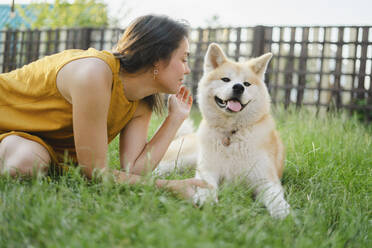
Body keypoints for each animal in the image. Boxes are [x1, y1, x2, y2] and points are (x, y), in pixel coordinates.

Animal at [154, 43, 290, 218]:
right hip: (181, 158)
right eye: (226, 79)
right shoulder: (207, 170)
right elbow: (207, 186)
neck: (231, 134)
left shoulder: (265, 179)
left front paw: (283, 214)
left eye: (247, 84)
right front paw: (206, 201)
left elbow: (275, 198)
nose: (238, 87)